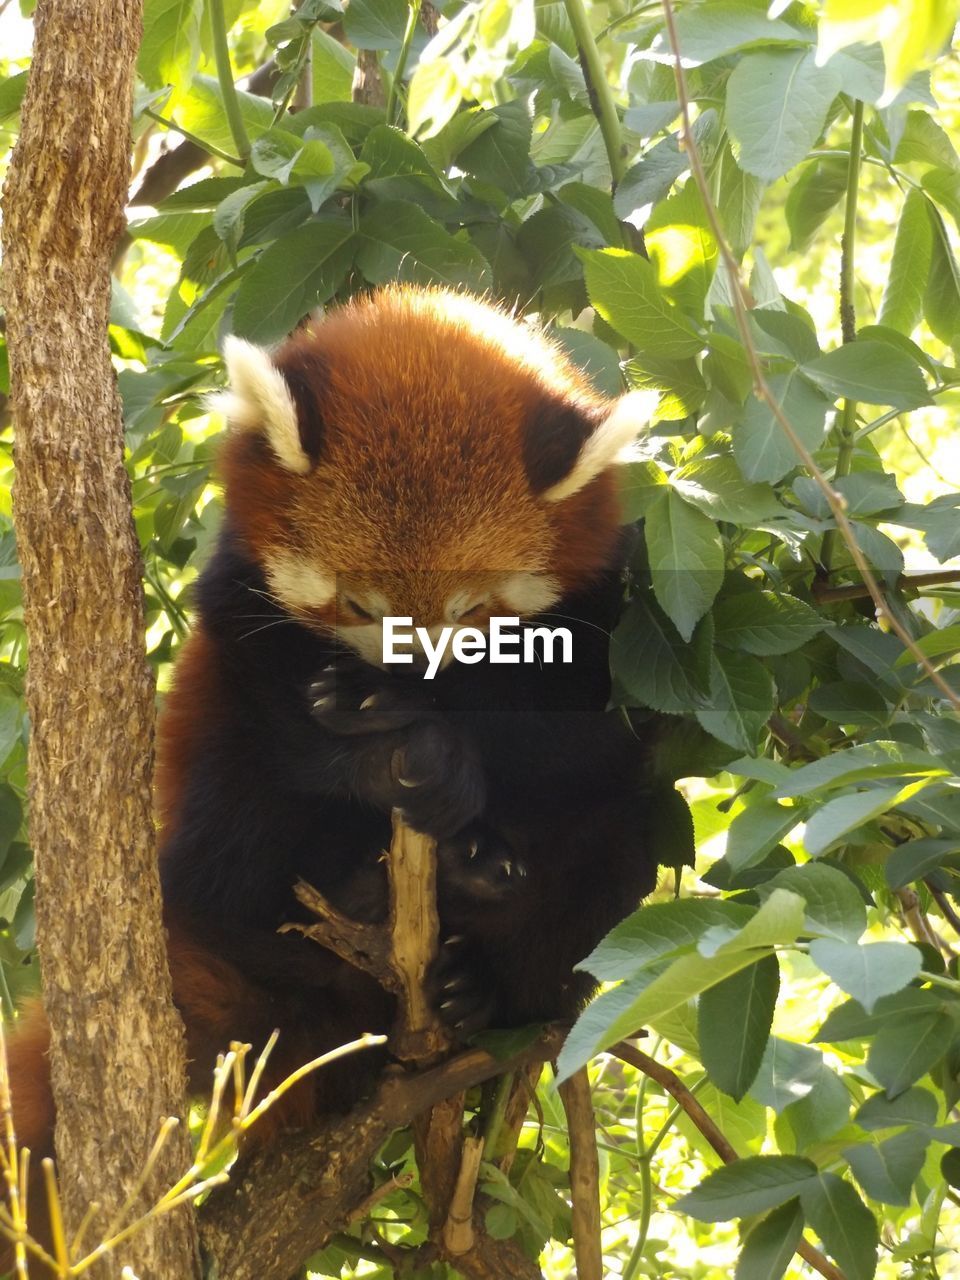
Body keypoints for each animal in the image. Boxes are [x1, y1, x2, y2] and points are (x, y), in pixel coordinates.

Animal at [3, 285, 660, 1254]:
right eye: (356, 603)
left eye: (473, 611)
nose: (411, 672)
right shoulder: (238, 600)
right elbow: (285, 709)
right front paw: (387, 753)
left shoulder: (603, 615)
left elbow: (574, 733)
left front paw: (452, 761)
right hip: (208, 849)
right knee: (232, 828)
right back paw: (360, 890)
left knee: (620, 838)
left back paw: (480, 972)